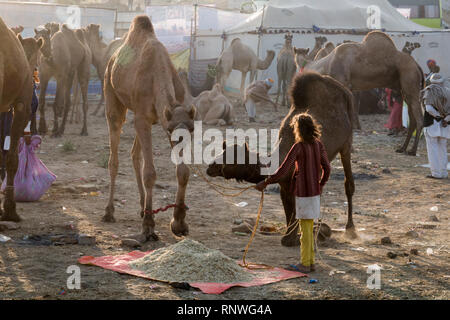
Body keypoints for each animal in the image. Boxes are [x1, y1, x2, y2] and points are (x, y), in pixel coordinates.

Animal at [103, 14, 195, 240]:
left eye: (192, 130)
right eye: (172, 131)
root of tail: (112, 58)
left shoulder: (161, 118)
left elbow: (183, 171)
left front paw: (179, 223)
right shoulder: (147, 119)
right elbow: (150, 173)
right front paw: (148, 226)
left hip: (142, 116)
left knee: (135, 155)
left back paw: (142, 207)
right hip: (112, 94)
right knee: (114, 156)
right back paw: (109, 211)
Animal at [206, 72, 356, 246]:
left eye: (233, 158)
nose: (210, 167)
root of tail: (345, 91)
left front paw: (308, 235)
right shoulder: (285, 183)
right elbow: (289, 209)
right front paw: (290, 237)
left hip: (346, 142)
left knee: (348, 184)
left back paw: (350, 230)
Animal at [294, 31, 424, 155]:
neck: (328, 64)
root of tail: (417, 65)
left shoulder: (344, 85)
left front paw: (349, 149)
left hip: (410, 78)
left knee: (419, 118)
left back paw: (413, 151)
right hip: (404, 90)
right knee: (412, 118)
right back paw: (402, 148)